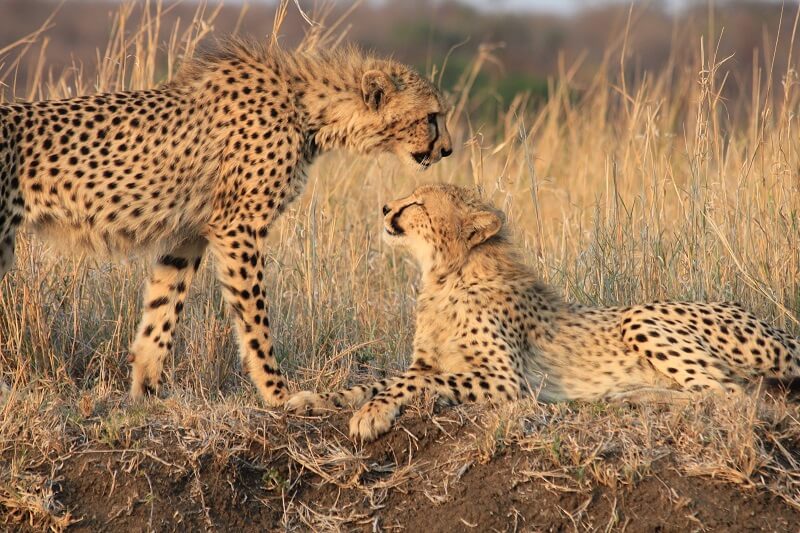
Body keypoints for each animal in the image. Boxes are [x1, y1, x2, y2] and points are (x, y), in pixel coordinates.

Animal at [0, 39, 450, 406]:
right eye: (431, 116)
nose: (447, 149)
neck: (308, 107)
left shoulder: (191, 234)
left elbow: (162, 310)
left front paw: (146, 393)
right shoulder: (239, 227)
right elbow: (254, 319)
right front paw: (278, 393)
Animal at [288, 184, 800, 440]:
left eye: (416, 202)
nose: (384, 207)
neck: (447, 274)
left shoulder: (507, 381)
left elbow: (408, 384)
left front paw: (371, 415)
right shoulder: (425, 362)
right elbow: (375, 381)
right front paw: (313, 399)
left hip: (640, 317)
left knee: (732, 395)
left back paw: (633, 397)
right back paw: (632, 394)